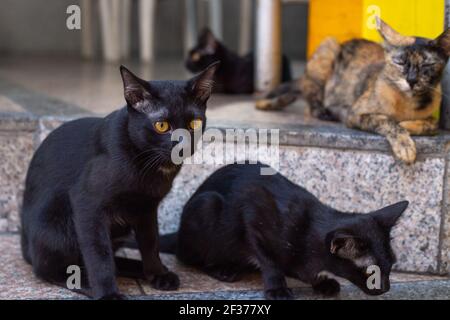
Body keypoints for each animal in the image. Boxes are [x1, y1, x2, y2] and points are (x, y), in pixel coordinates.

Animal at [21, 62, 220, 300]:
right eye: (162, 125)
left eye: (194, 123)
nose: (182, 146)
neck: (147, 162)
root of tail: (24, 245)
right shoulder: (87, 204)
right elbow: (99, 254)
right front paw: (108, 294)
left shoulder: (146, 208)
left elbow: (151, 242)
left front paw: (157, 273)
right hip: (56, 222)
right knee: (48, 268)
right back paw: (86, 282)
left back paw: (140, 269)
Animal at [160, 162, 410, 300]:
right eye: (370, 271)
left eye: (391, 265)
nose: (386, 288)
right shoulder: (252, 211)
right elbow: (269, 260)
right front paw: (277, 287)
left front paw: (321, 282)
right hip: (207, 205)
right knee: (188, 257)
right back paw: (223, 269)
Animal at [256, 19, 450, 165]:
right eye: (400, 62)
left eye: (427, 64)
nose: (411, 80)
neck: (408, 101)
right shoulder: (355, 114)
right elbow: (387, 121)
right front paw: (405, 145)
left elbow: (432, 124)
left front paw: (409, 125)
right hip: (327, 47)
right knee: (310, 96)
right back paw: (323, 111)